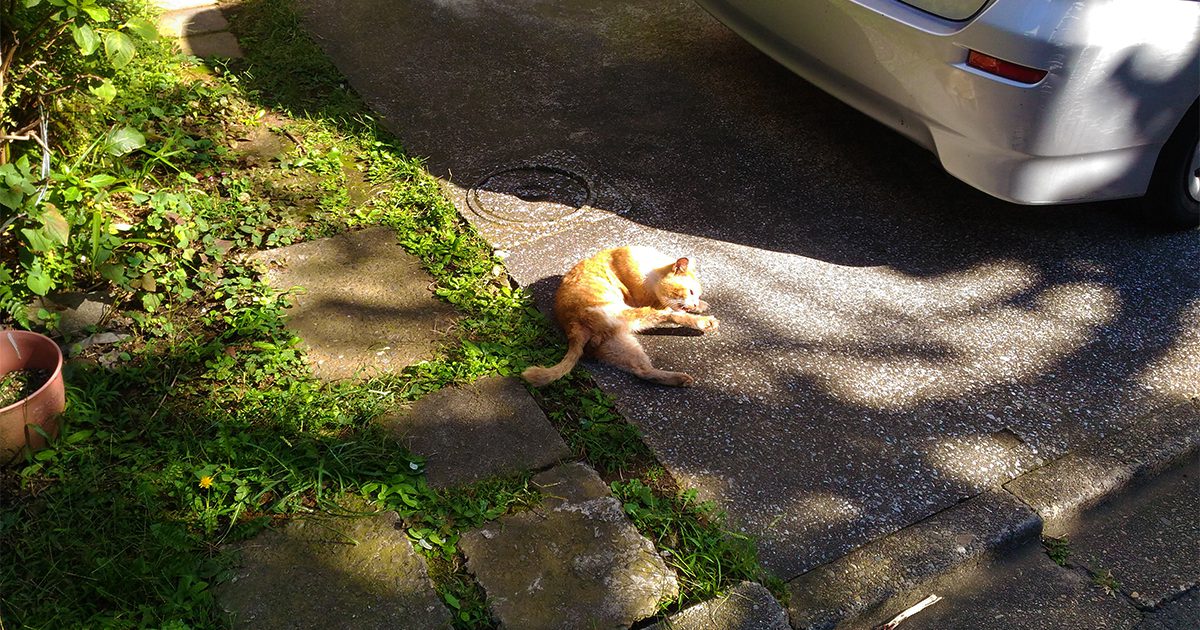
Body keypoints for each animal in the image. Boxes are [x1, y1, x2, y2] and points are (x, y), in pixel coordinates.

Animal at [520, 244, 715, 384]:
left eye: (697, 294)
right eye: (690, 291)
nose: (695, 302)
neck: (652, 268)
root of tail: (573, 327)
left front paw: (702, 304)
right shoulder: (650, 300)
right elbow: (673, 308)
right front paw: (698, 310)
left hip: (621, 346)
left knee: (642, 371)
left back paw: (681, 379)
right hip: (630, 314)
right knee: (667, 315)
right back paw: (706, 323)